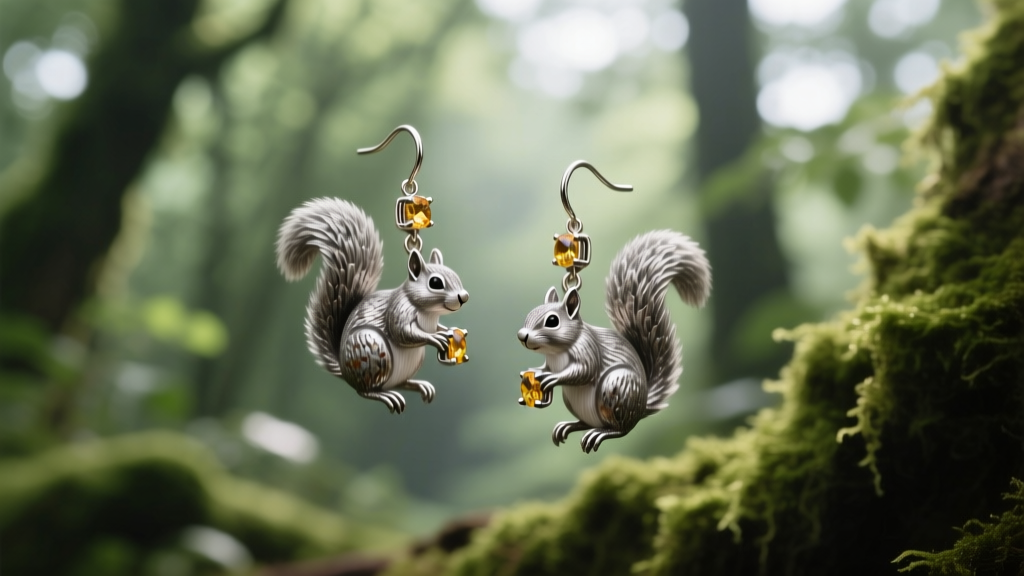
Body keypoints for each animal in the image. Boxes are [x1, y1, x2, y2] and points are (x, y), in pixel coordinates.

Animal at [276, 197, 469, 414]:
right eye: (435, 283)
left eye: (456, 276)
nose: (464, 297)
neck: (428, 312)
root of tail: (344, 370)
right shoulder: (398, 311)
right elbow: (404, 332)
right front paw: (436, 337)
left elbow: (437, 327)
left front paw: (449, 331)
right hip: (372, 351)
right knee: (366, 391)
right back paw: (387, 396)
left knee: (400, 383)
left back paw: (419, 385)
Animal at [517, 229, 711, 453]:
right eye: (529, 315)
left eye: (552, 321)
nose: (522, 336)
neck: (556, 352)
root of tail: (642, 405)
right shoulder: (550, 361)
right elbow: (545, 367)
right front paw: (535, 372)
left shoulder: (588, 349)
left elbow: (584, 371)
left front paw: (551, 378)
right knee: (586, 423)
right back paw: (569, 426)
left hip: (616, 387)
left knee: (621, 429)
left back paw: (599, 434)